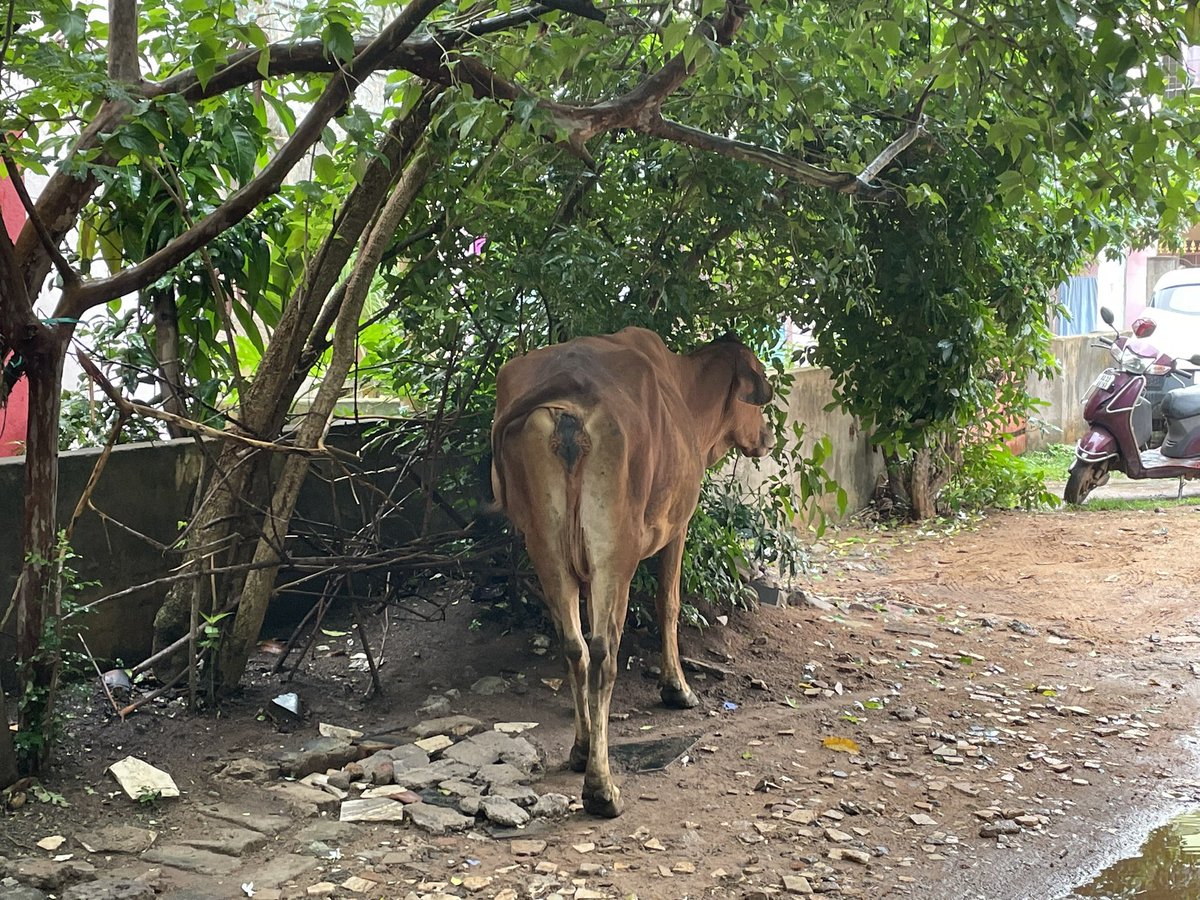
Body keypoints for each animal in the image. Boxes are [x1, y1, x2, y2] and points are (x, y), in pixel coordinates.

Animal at [489, 327, 775, 817]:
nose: (769, 435)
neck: (686, 390)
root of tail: (568, 389)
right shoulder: (679, 524)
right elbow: (668, 603)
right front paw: (676, 688)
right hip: (614, 553)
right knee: (603, 653)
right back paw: (601, 789)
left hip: (546, 549)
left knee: (574, 646)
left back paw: (583, 749)